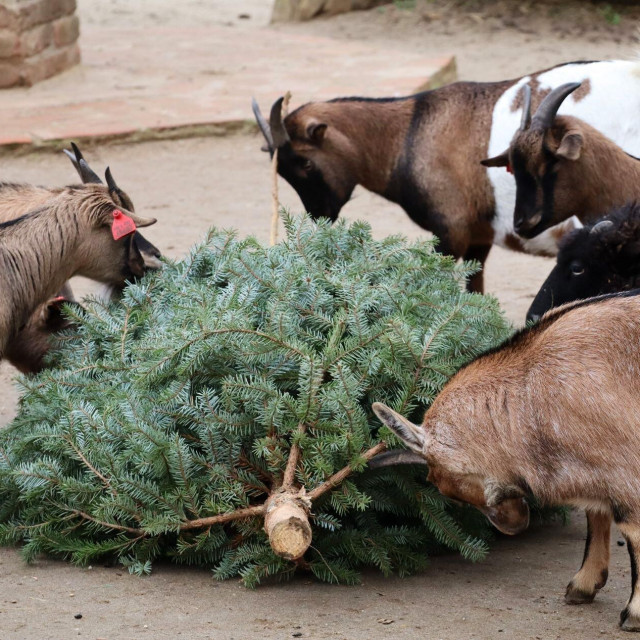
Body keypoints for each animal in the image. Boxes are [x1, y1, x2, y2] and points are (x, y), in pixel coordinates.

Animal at [372, 292, 640, 632]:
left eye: (449, 483)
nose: (515, 525)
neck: (532, 391)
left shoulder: (626, 467)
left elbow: (631, 530)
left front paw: (634, 613)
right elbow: (596, 514)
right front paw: (583, 585)